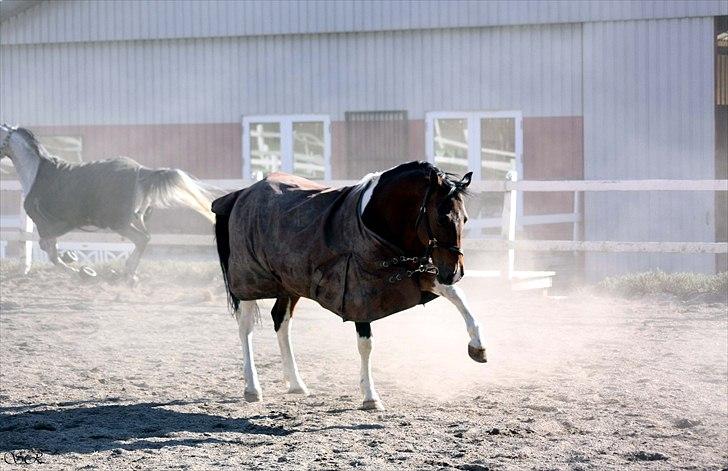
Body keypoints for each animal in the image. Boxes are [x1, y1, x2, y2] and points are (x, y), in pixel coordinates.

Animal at [0, 125, 213, 280]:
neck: (35, 172)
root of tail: (140, 170)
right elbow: (53, 251)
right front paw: (75, 262)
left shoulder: (47, 226)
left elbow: (51, 253)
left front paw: (79, 271)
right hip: (135, 218)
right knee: (145, 238)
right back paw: (129, 273)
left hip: (119, 223)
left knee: (142, 239)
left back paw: (128, 274)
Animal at [216, 161, 490, 410]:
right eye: (441, 219)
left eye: (465, 218)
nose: (455, 272)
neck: (374, 220)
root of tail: (241, 194)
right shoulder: (359, 293)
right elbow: (365, 344)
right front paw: (370, 396)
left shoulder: (418, 275)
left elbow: (459, 298)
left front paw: (478, 347)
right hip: (248, 281)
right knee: (246, 328)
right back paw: (253, 388)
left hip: (289, 283)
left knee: (280, 320)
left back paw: (296, 383)